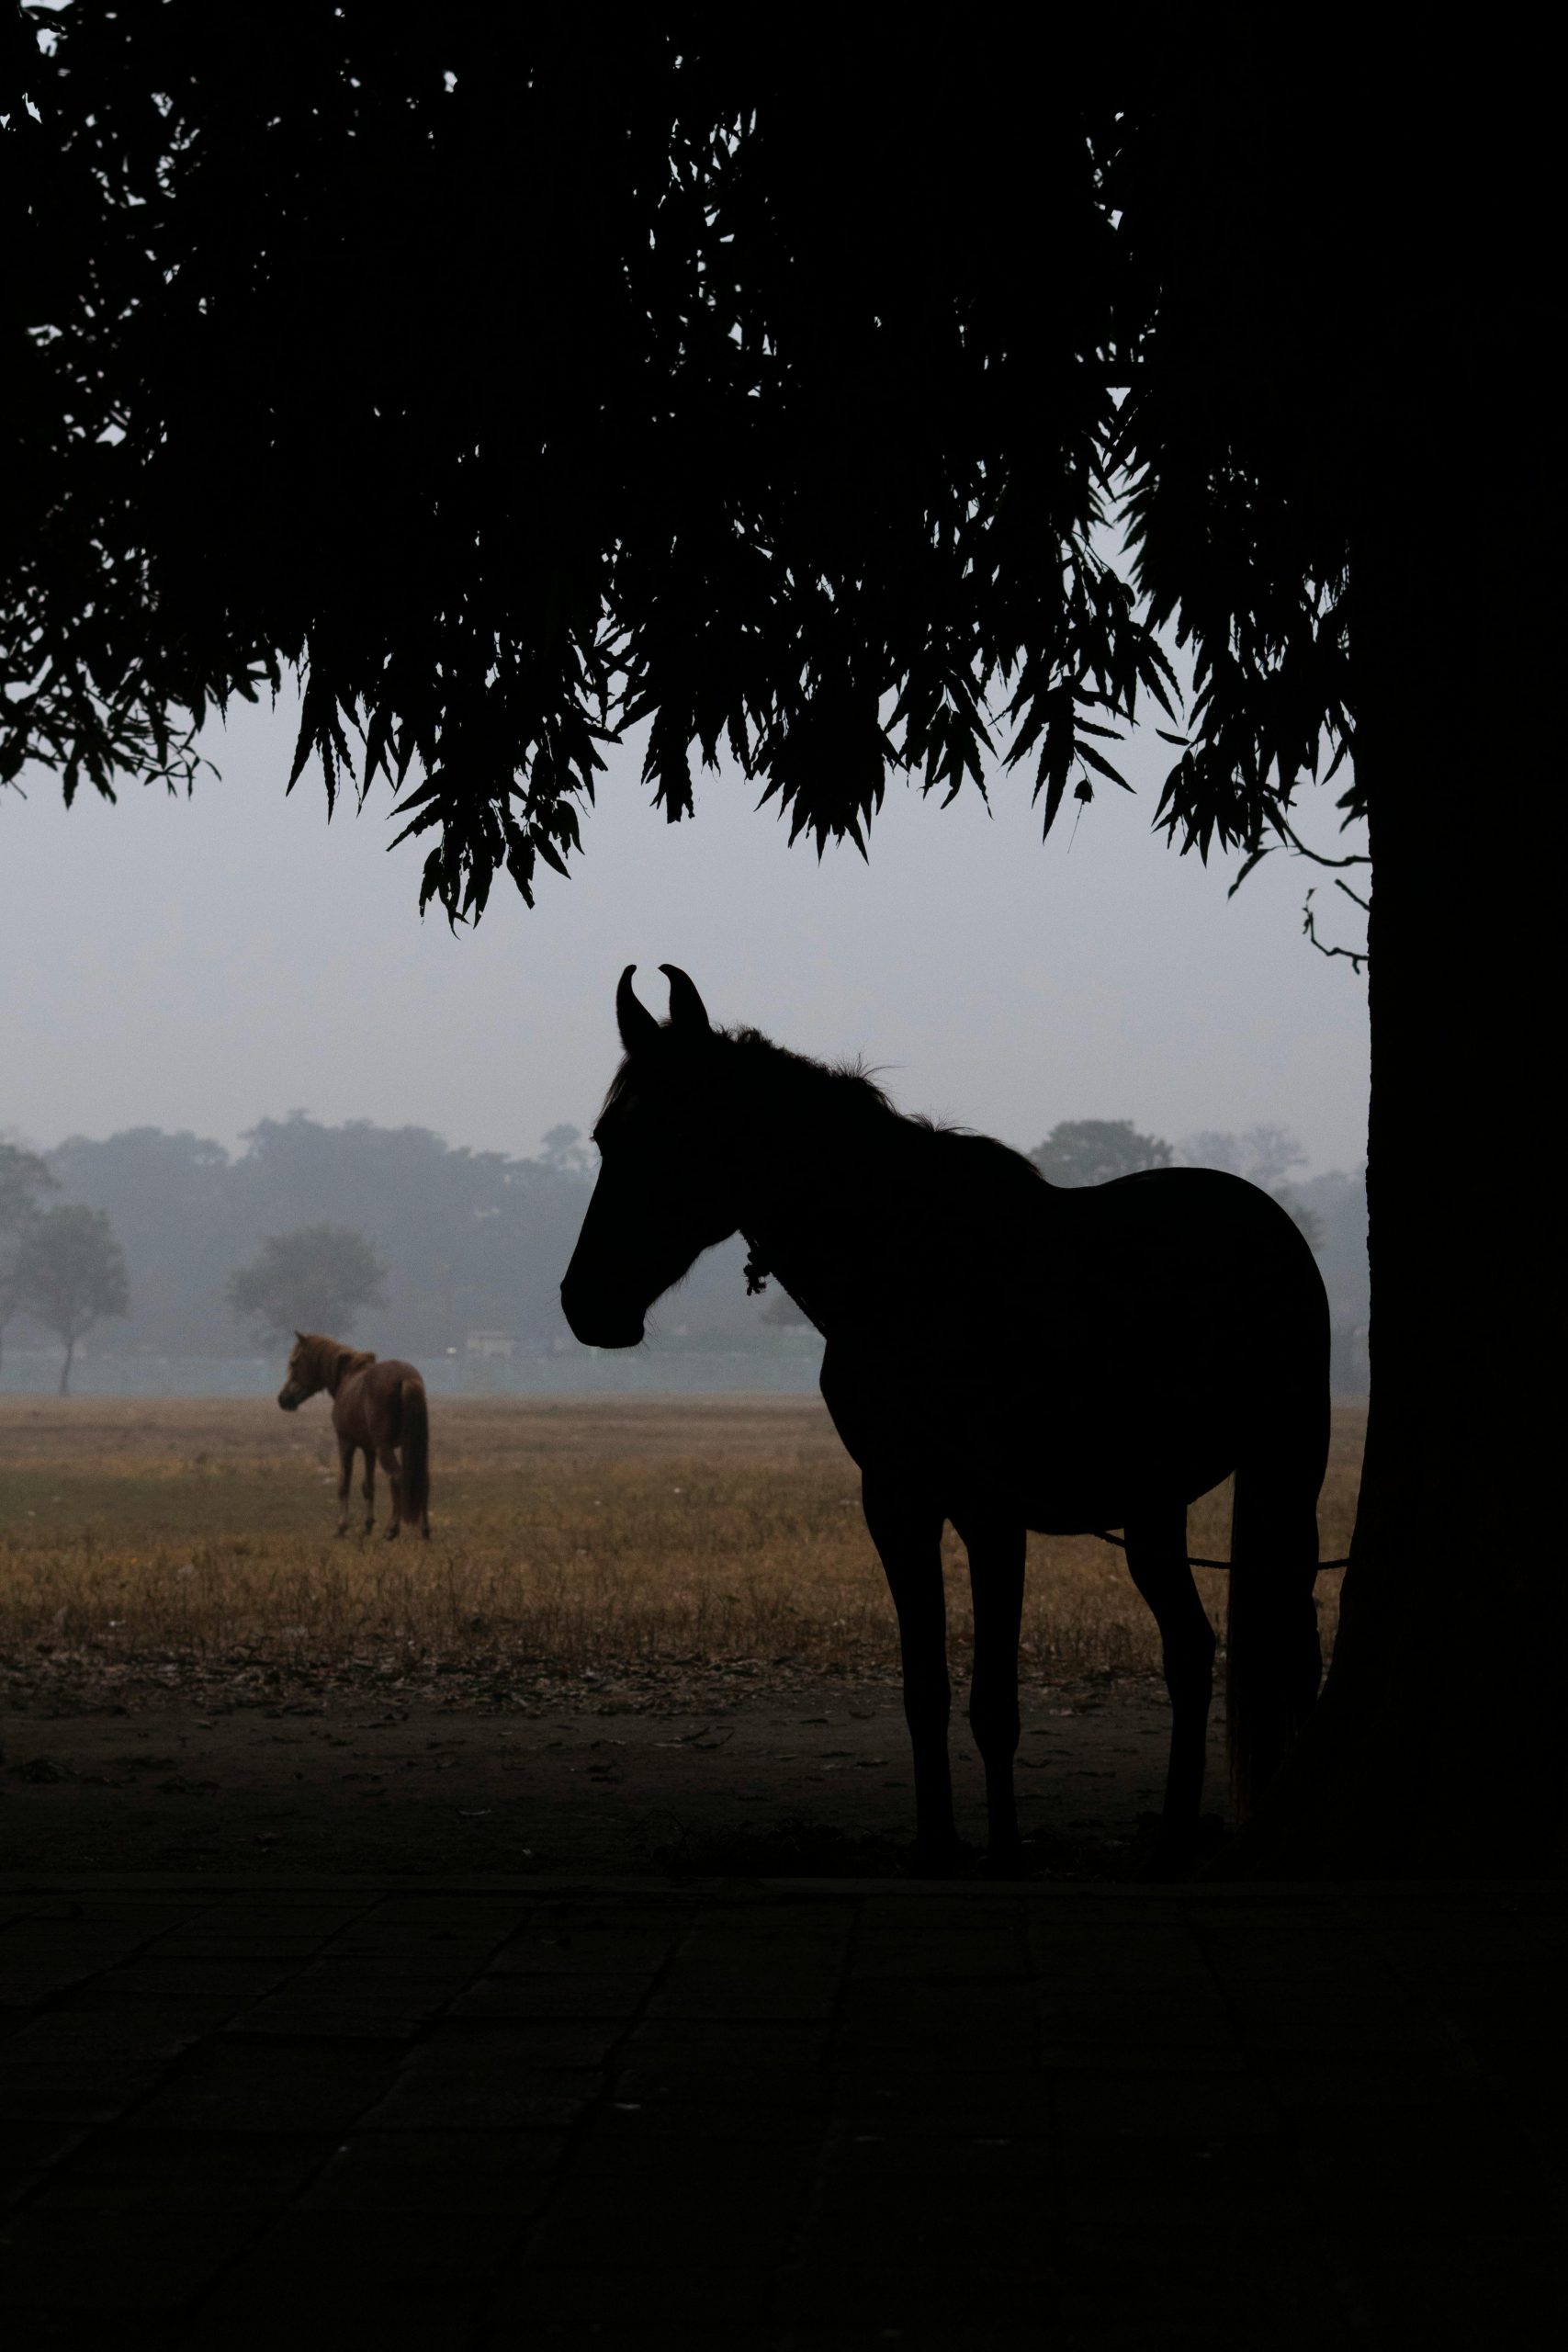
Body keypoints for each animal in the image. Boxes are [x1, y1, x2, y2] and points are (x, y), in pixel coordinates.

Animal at [277, 1331, 431, 1541]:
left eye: (293, 1363)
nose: (283, 1399)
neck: (347, 1377)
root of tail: (405, 1378)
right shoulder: (369, 1449)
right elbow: (368, 1486)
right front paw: (367, 1525)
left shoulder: (346, 1443)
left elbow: (344, 1484)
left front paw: (342, 1526)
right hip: (412, 1447)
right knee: (422, 1478)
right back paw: (425, 1530)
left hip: (385, 1448)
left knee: (397, 1477)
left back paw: (391, 1529)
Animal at [561, 966, 1330, 1875]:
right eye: (606, 1137)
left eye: (672, 1136)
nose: (585, 1305)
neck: (907, 1271)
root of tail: (1266, 1219)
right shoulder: (897, 1502)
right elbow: (924, 1689)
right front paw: (936, 1844)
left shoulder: (989, 1514)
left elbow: (994, 1705)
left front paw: (1002, 1852)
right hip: (1153, 1507)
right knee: (1189, 1649)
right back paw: (1173, 1833)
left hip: (1288, 1470)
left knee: (1288, 1644)